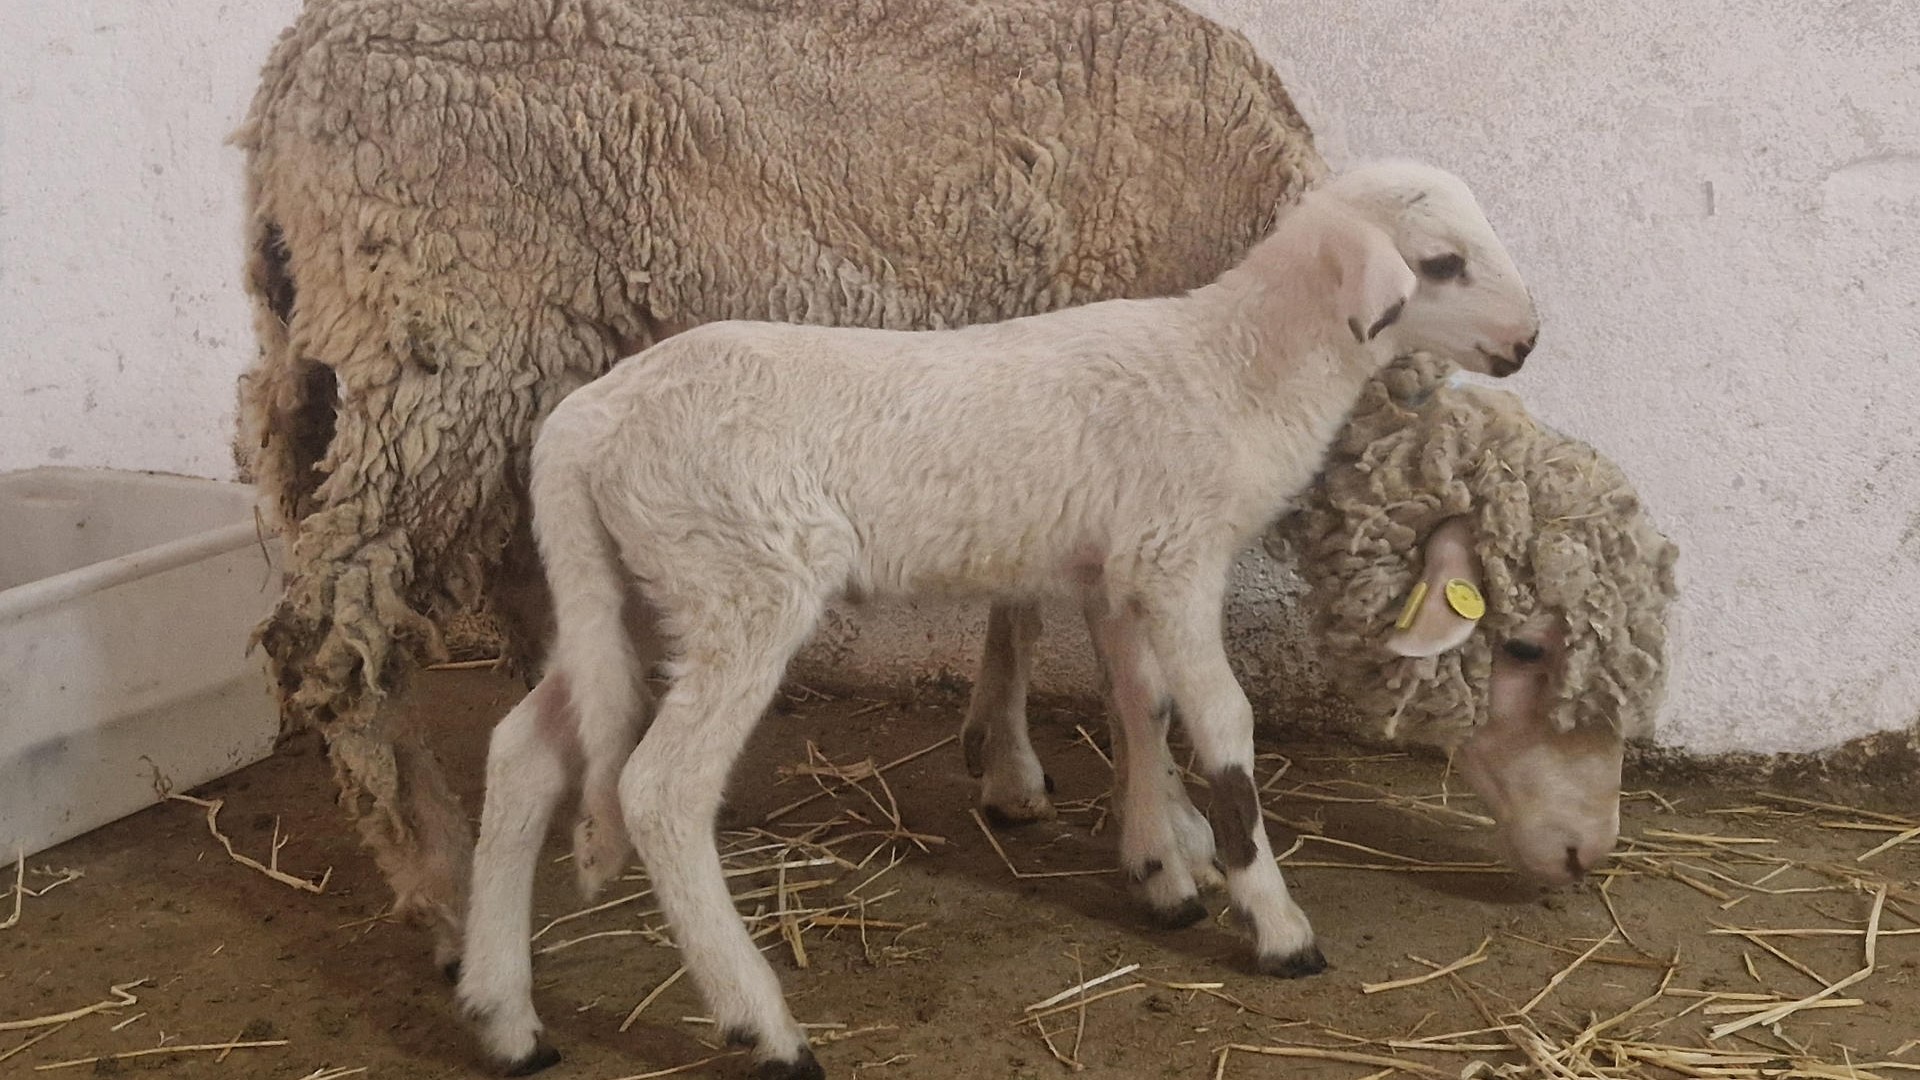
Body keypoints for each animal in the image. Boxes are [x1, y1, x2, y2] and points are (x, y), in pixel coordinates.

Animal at [232, 0, 1328, 968]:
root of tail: (287, 75)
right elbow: (1128, 664)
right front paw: (1171, 837)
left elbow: (1022, 601)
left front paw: (1011, 766)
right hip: (448, 343)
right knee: (331, 630)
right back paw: (444, 891)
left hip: (436, 371)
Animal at [456, 161, 1536, 1076]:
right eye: (1441, 263)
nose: (1526, 344)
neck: (1235, 368)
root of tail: (583, 425)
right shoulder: (1176, 554)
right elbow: (1224, 727)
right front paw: (1273, 922)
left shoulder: (1115, 567)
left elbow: (1140, 709)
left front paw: (1161, 868)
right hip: (741, 577)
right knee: (660, 789)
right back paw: (761, 1024)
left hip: (631, 589)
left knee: (522, 752)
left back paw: (505, 1018)